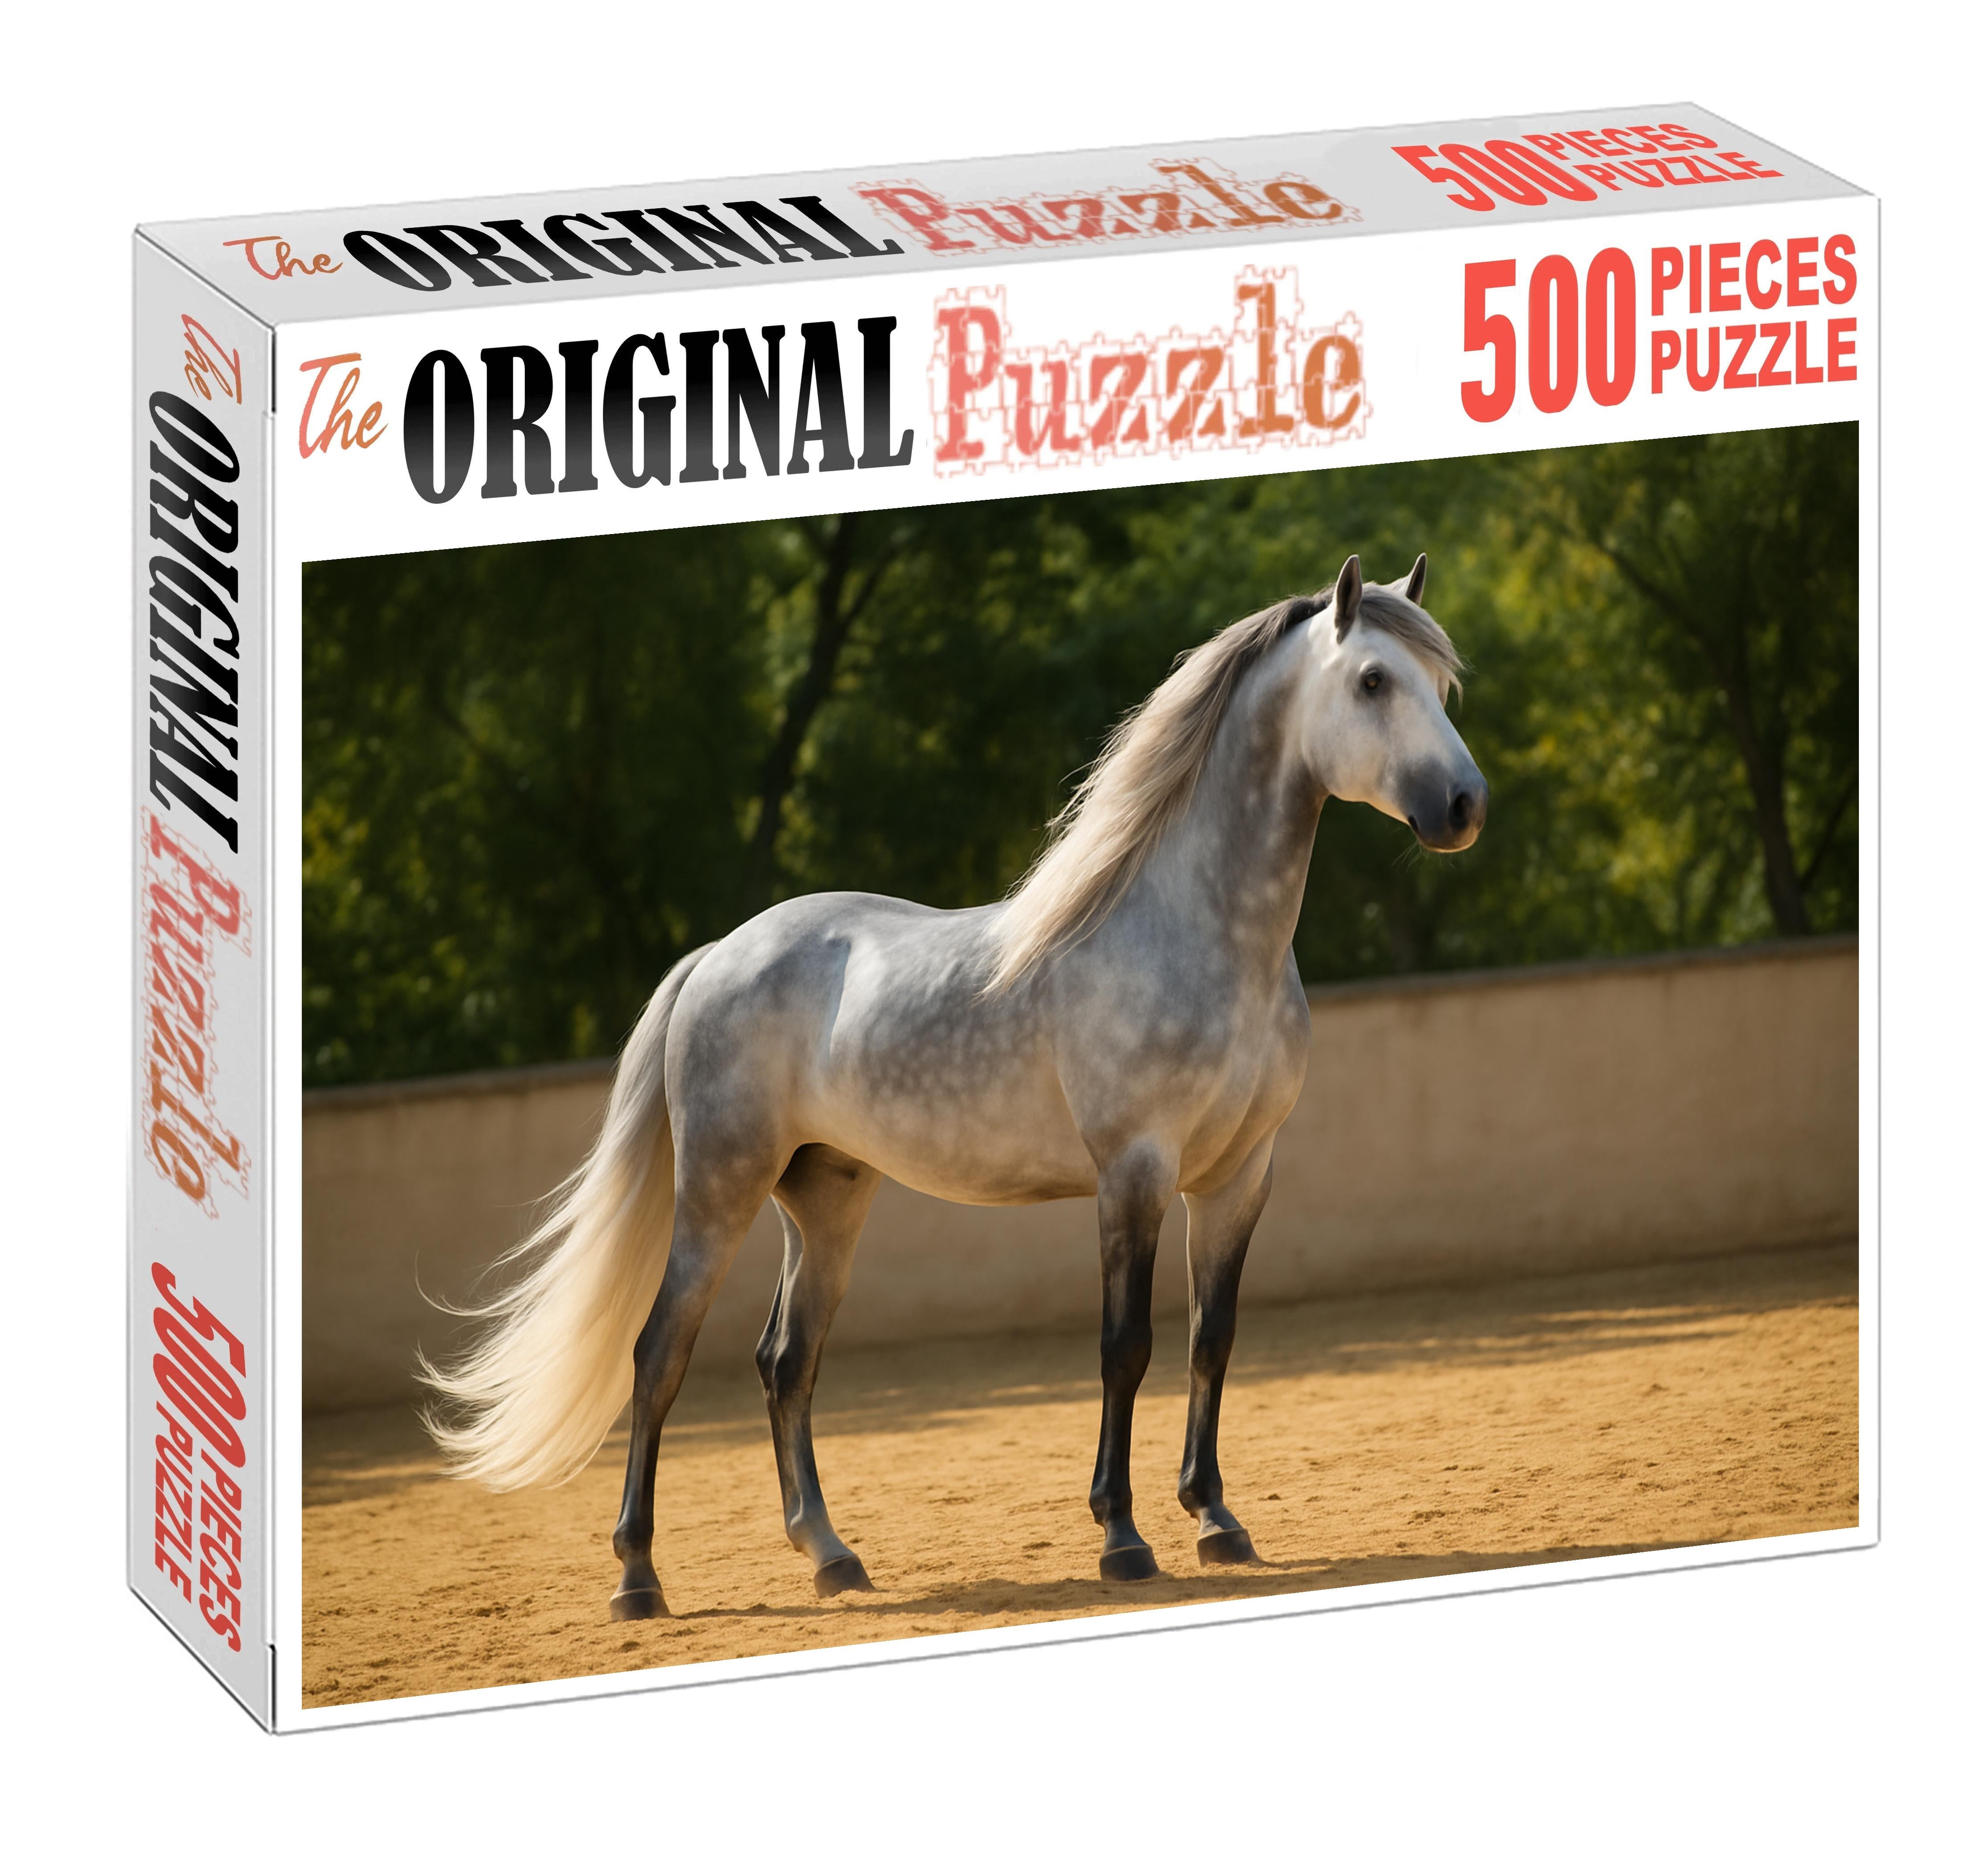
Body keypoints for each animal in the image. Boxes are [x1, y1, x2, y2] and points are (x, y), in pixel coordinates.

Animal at [419, 552, 1487, 1619]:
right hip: (720, 1191)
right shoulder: (1133, 1174)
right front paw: (1122, 1537)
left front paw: (1217, 1521)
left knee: (787, 1362)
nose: (1465, 807)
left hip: (827, 1199)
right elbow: (1126, 1345)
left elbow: (1209, 1340)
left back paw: (832, 1555)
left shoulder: (1237, 1178)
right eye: (1372, 681)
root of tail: (719, 954)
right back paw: (639, 1578)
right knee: (660, 1354)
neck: (1201, 935)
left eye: (1439, 686)